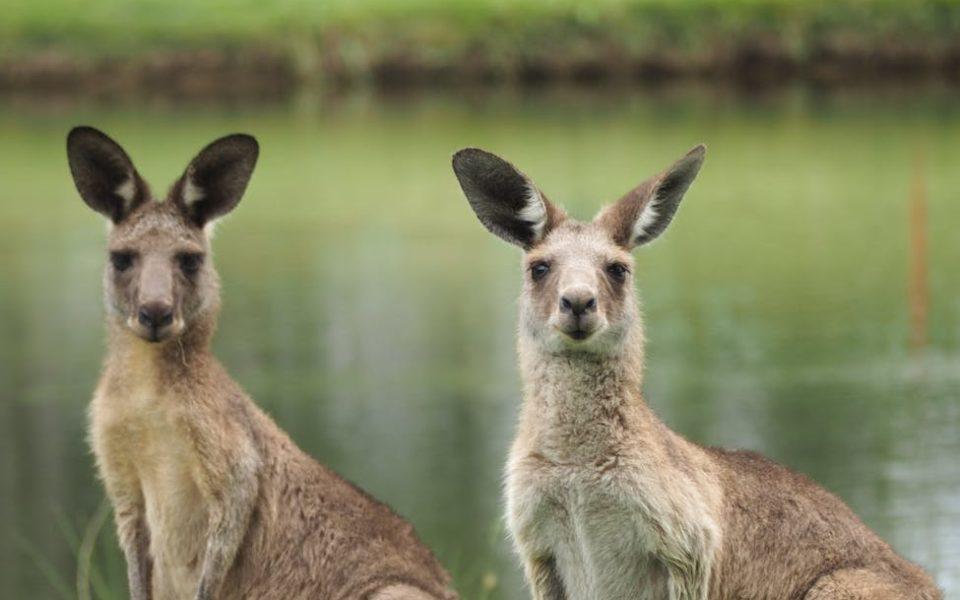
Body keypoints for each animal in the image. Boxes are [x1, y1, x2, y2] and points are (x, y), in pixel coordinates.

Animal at [68, 126, 457, 600]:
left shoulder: (234, 459)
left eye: (190, 260)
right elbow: (135, 556)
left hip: (392, 590)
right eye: (121, 259)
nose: (155, 314)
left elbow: (231, 518)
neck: (149, 393)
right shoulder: (121, 480)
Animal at [451, 145, 941, 600]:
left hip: (841, 585)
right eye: (539, 268)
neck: (576, 468)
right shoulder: (539, 552)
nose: (578, 303)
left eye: (618, 270)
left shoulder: (688, 550)